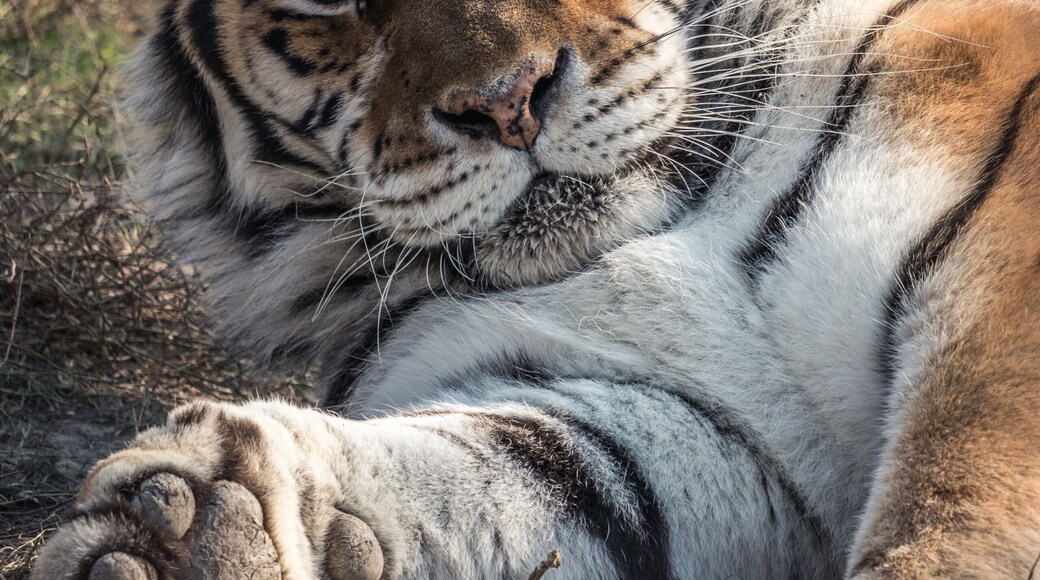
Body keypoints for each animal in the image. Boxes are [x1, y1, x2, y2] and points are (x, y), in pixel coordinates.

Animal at [29, 0, 1040, 577]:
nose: (508, 100)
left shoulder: (996, 301)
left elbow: (951, 517)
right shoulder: (693, 415)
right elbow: (536, 473)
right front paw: (202, 529)